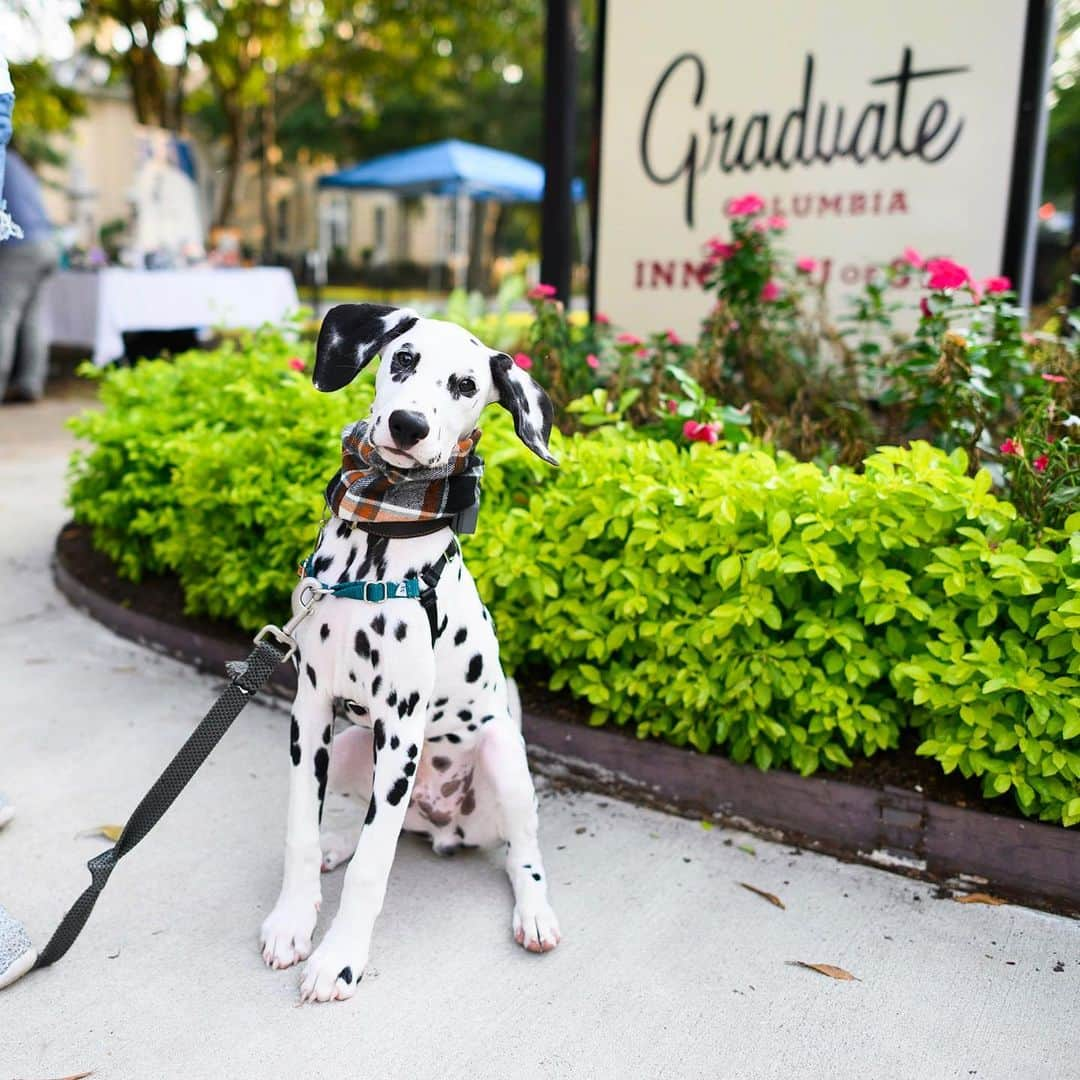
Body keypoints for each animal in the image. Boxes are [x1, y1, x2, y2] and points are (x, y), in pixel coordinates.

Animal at [259, 304, 565, 1002]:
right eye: (402, 359)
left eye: (466, 385)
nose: (409, 424)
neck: (379, 531)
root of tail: (443, 821)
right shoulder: (310, 712)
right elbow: (298, 828)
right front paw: (293, 922)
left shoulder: (400, 729)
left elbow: (374, 867)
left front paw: (338, 959)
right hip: (354, 749)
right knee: (369, 824)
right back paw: (337, 843)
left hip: (503, 757)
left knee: (523, 853)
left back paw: (535, 914)